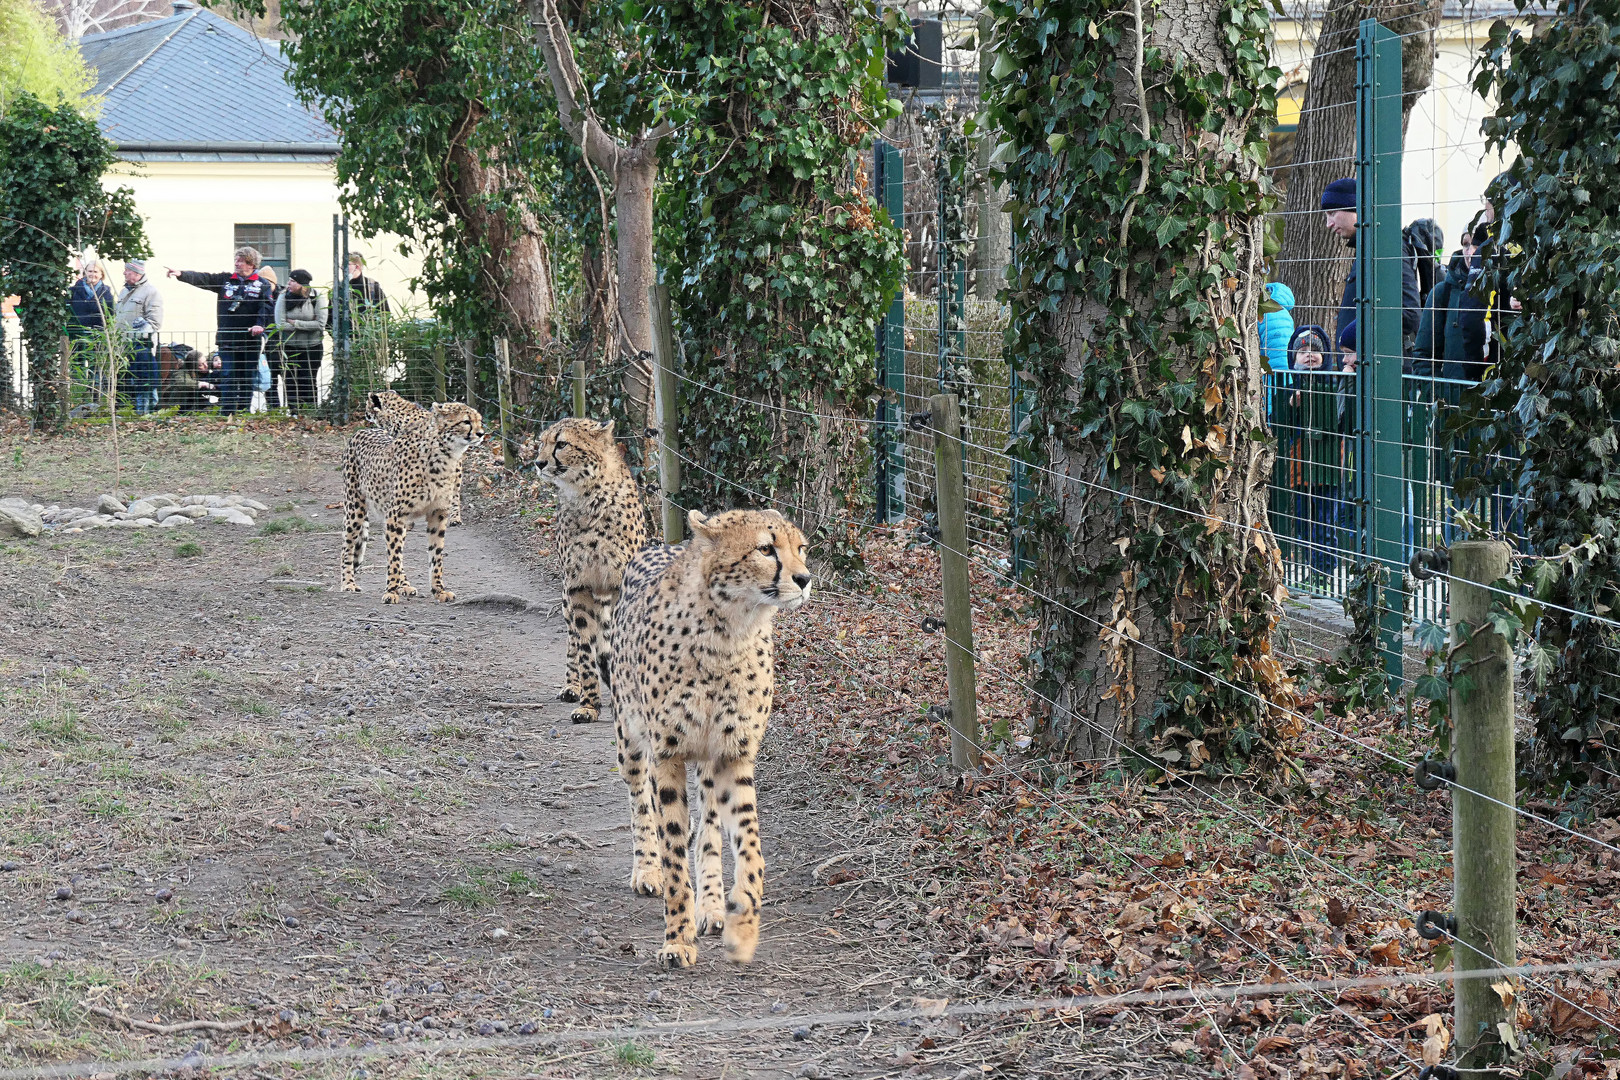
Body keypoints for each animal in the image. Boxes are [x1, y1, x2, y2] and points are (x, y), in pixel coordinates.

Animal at [521, 417, 641, 722]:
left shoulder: (620, 585)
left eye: (562, 444)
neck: (587, 495)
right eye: (542, 442)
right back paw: (572, 685)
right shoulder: (578, 587)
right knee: (574, 640)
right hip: (567, 598)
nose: (538, 463)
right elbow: (585, 646)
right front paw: (589, 703)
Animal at [605, 508, 816, 971]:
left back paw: (714, 906)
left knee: (709, 830)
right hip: (630, 735)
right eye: (765, 548)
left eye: (801, 547)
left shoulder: (735, 755)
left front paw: (742, 928)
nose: (805, 578)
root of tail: (659, 544)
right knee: (639, 799)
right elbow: (673, 853)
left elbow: (748, 846)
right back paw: (647, 871)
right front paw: (677, 940)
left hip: (707, 762)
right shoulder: (668, 753)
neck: (729, 631)